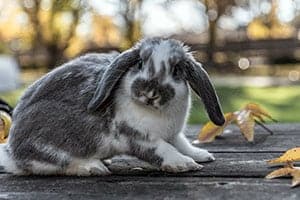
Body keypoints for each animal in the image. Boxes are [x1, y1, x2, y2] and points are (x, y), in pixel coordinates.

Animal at [0, 37, 225, 175]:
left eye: (177, 70)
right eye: (139, 63)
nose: (150, 93)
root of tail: (13, 153)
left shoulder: (173, 135)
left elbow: (182, 144)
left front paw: (202, 156)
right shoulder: (138, 137)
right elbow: (163, 150)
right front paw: (184, 164)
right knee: (58, 165)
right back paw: (93, 167)